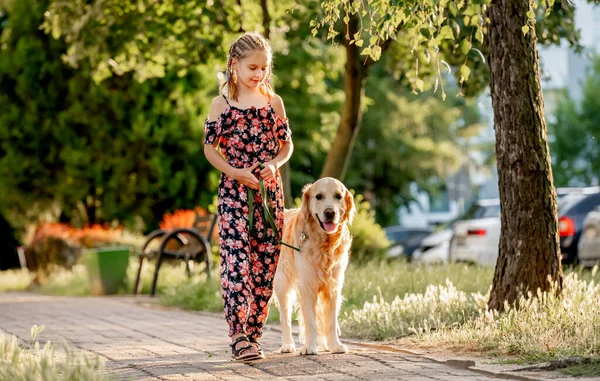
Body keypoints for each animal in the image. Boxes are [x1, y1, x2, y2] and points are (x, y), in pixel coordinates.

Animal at [274, 177, 354, 354]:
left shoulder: (333, 287)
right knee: (285, 317)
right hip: (282, 284)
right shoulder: (307, 286)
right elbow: (310, 321)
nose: (330, 212)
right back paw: (287, 345)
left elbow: (331, 322)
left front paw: (335, 345)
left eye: (338, 196)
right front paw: (310, 347)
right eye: (319, 196)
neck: (324, 245)